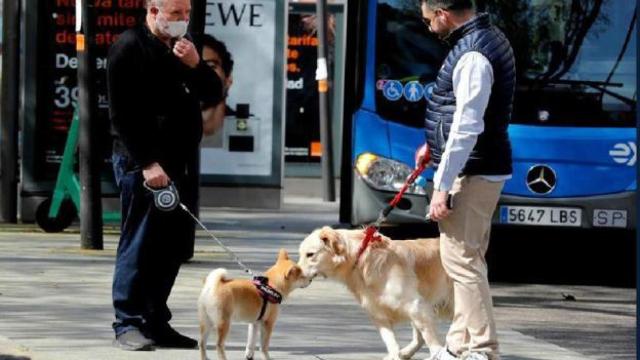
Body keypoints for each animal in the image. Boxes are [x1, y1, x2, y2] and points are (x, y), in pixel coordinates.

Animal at [298, 226, 452, 358]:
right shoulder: (378, 314)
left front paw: (436, 353)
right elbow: (391, 343)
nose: (295, 273)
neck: (361, 259)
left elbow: (430, 338)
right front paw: (395, 355)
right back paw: (405, 353)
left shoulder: (416, 305)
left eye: (310, 254)